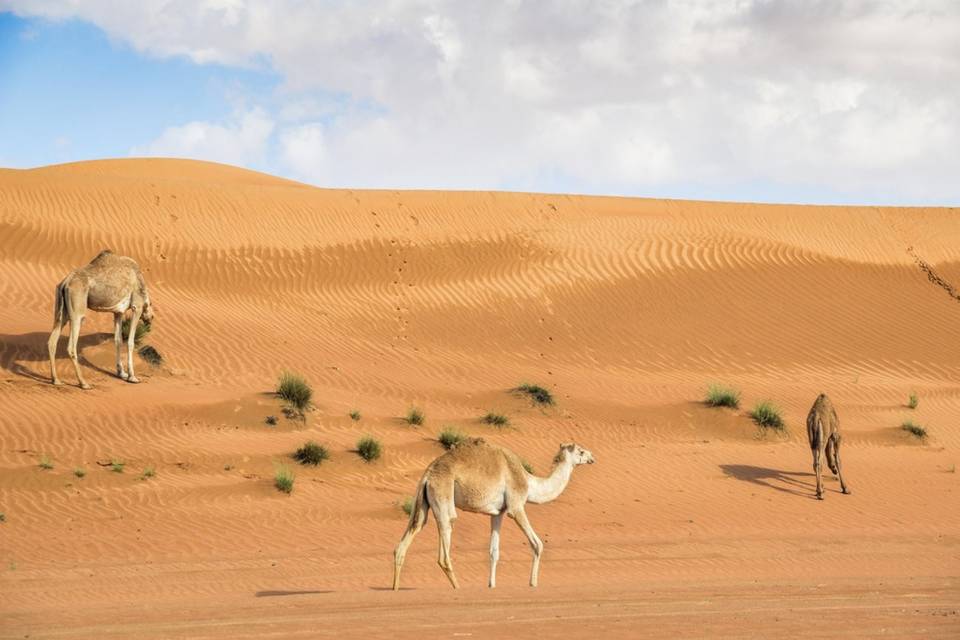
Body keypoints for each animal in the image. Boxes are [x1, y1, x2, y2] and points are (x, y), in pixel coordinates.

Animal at [48, 250, 154, 390]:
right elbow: (130, 342)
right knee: (71, 346)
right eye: (150, 306)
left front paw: (121, 373)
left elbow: (118, 340)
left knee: (52, 341)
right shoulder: (137, 306)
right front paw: (132, 377)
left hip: (61, 310)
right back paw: (83, 383)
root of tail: (65, 282)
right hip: (77, 310)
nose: (151, 318)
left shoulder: (118, 312)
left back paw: (56, 380)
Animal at [390, 440, 592, 592]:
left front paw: (491, 585)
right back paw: (457, 587)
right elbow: (537, 544)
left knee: (409, 536)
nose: (592, 457)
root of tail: (428, 474)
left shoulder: (498, 513)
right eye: (581, 451)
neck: (528, 482)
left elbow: (494, 551)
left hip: (422, 501)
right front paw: (533, 583)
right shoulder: (515, 506)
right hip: (444, 494)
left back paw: (395, 588)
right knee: (445, 542)